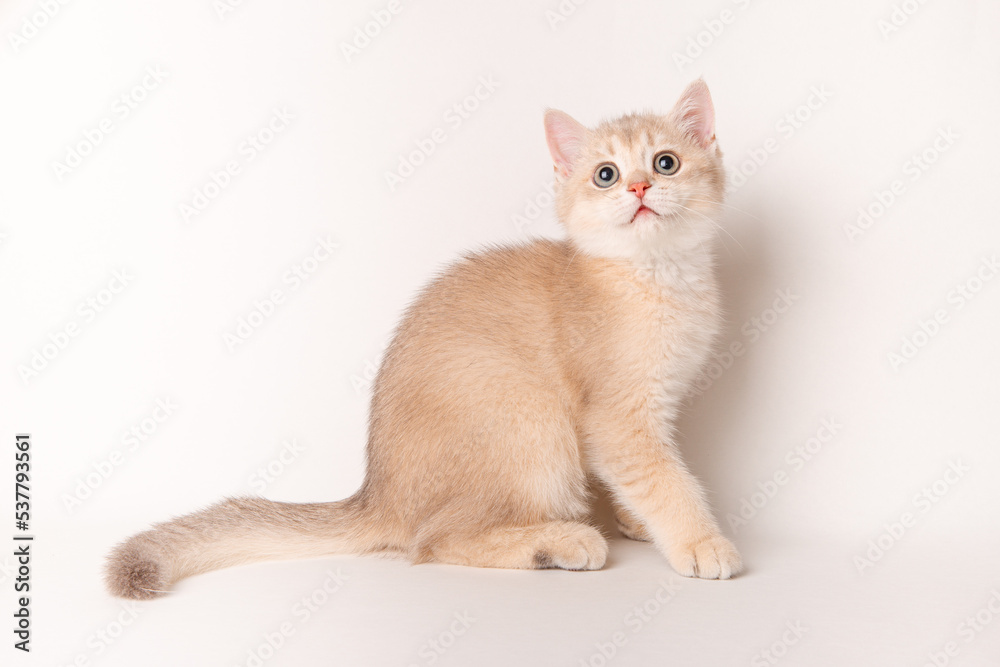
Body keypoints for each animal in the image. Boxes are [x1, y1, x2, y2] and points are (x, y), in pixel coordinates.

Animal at [105, 78, 740, 600]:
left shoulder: (639, 413)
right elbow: (665, 480)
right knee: (431, 541)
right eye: (605, 174)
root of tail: (378, 494)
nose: (639, 187)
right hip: (526, 417)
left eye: (665, 162)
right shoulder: (617, 414)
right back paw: (557, 543)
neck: (658, 276)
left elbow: (637, 477)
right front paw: (700, 543)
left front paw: (633, 518)